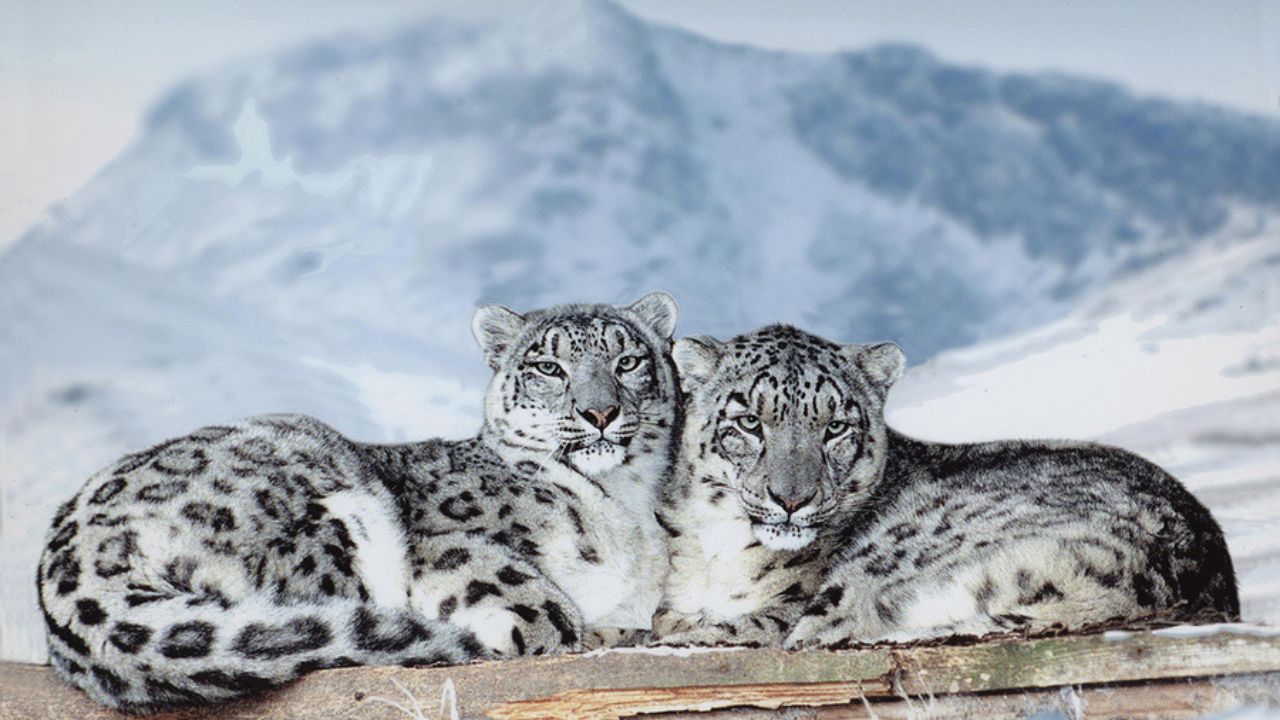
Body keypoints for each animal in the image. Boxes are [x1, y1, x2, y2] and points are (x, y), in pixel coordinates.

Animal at [36, 293, 680, 712]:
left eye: (628, 361)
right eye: (548, 366)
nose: (600, 411)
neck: (626, 505)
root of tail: (68, 564)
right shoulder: (446, 546)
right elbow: (540, 608)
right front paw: (586, 629)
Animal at [652, 324, 1238, 649]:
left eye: (836, 426)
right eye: (749, 421)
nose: (792, 499)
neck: (714, 552)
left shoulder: (782, 608)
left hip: (874, 567)